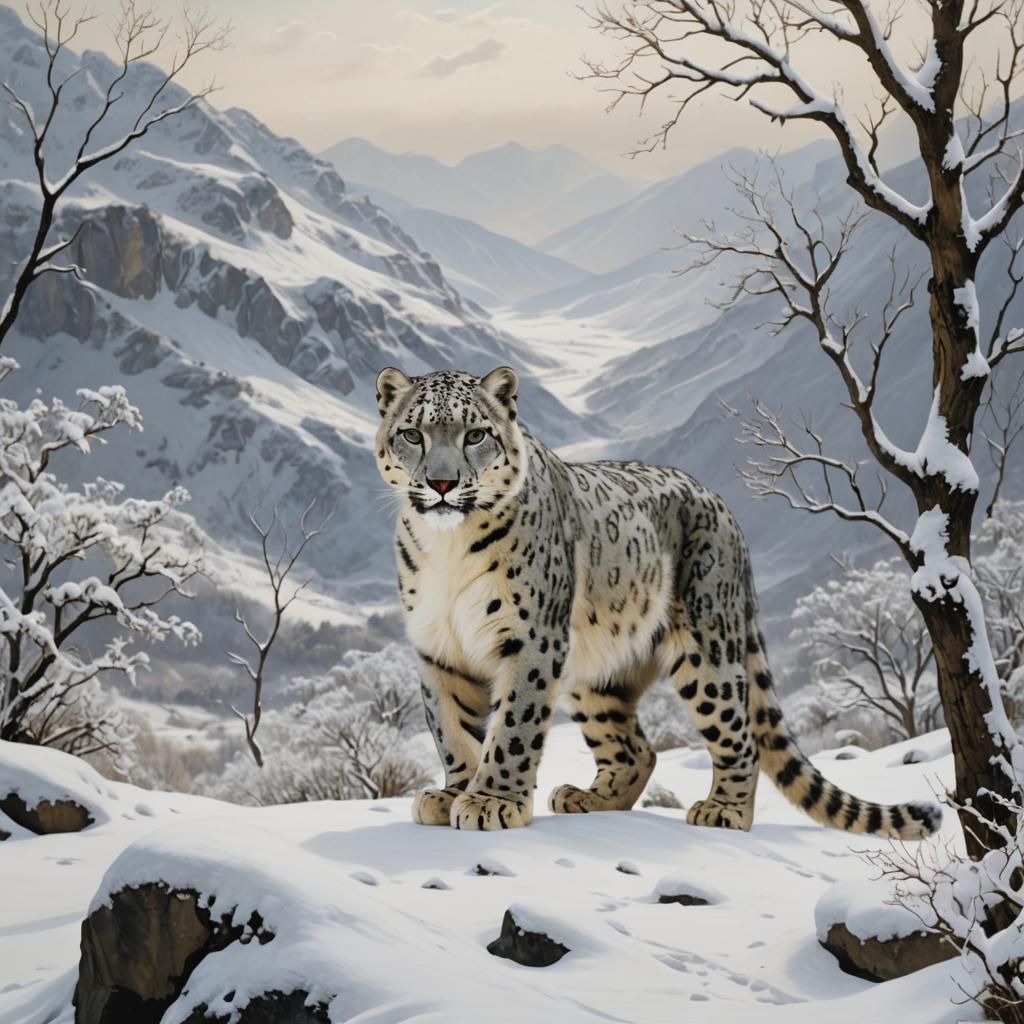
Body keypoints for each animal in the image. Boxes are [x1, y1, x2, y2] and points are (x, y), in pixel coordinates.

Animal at [373, 365, 942, 839]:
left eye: (476, 435)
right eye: (412, 434)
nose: (441, 483)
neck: (449, 547)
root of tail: (724, 510)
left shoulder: (531, 637)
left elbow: (515, 722)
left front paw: (492, 801)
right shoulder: (437, 647)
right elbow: (452, 729)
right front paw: (453, 794)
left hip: (707, 649)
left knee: (739, 734)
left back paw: (723, 810)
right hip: (594, 674)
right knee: (636, 749)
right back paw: (587, 797)